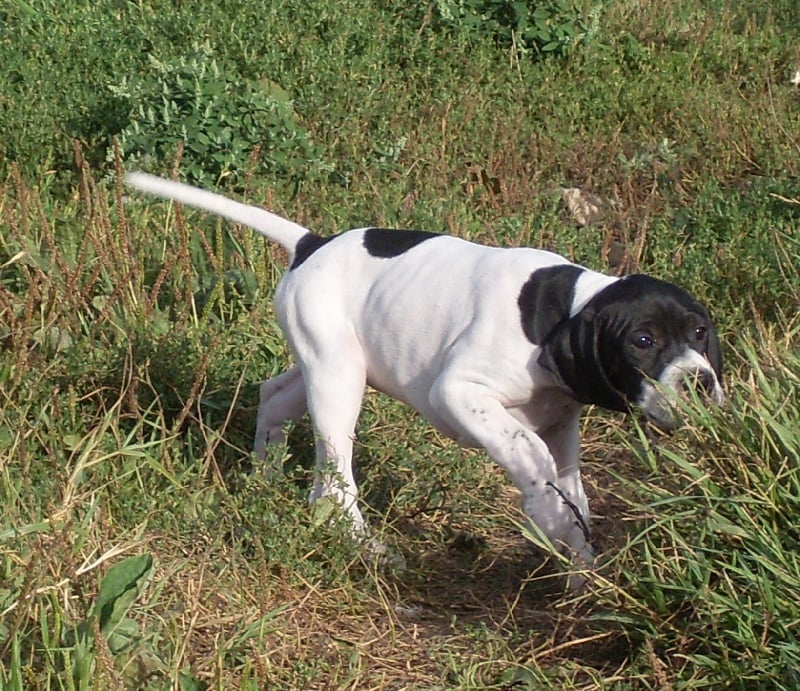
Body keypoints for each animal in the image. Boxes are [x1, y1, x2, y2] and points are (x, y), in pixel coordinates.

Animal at [126, 174, 724, 588]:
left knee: (275, 402)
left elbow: (574, 494)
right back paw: (369, 549)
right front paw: (546, 516)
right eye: (642, 340)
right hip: (339, 380)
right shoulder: (458, 393)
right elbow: (527, 452)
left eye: (700, 331)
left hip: (330, 365)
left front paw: (580, 570)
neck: (565, 308)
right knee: (336, 483)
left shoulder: (562, 426)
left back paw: (264, 480)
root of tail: (313, 244)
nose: (701, 382)